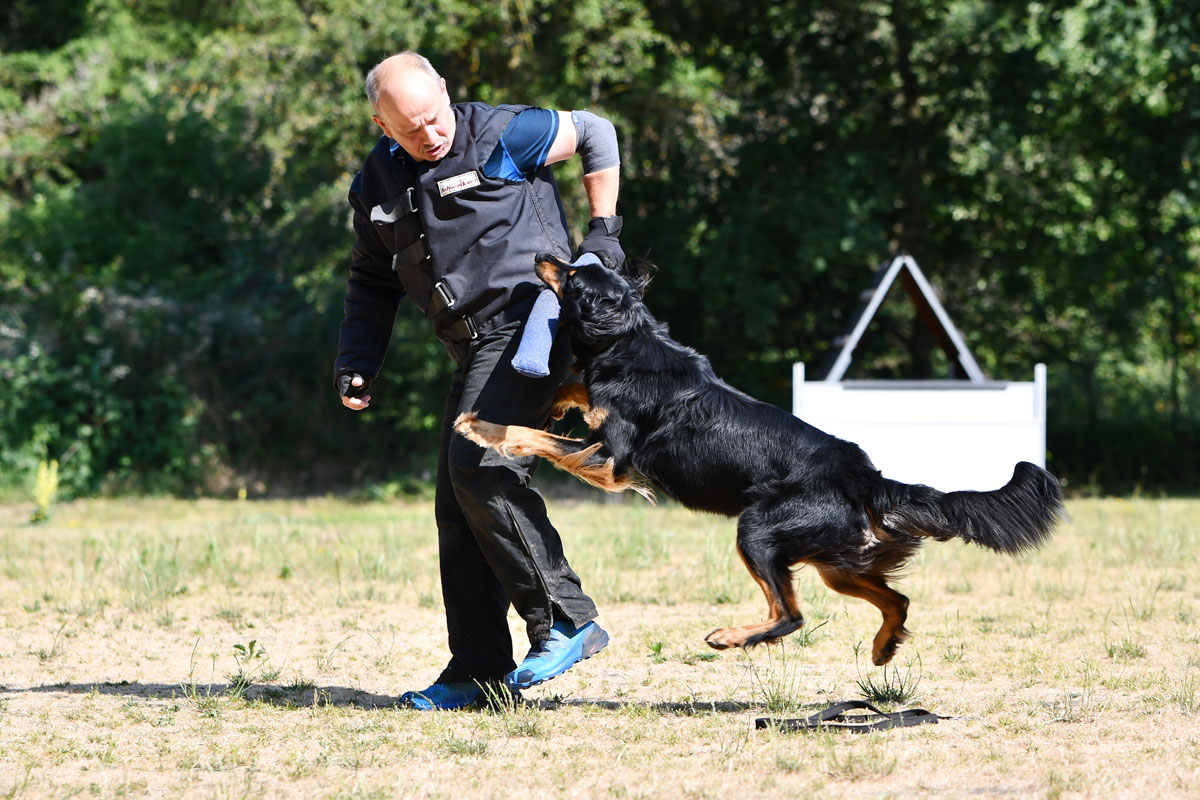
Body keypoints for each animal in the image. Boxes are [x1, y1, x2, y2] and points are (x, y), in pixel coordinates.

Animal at [456, 255, 1060, 662]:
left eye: (576, 277)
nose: (545, 256)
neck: (627, 342)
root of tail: (864, 475)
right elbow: (574, 392)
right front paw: (559, 399)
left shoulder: (612, 463)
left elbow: (538, 437)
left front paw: (486, 429)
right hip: (831, 559)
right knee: (898, 600)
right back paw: (883, 648)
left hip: (760, 532)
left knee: (790, 615)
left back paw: (730, 637)